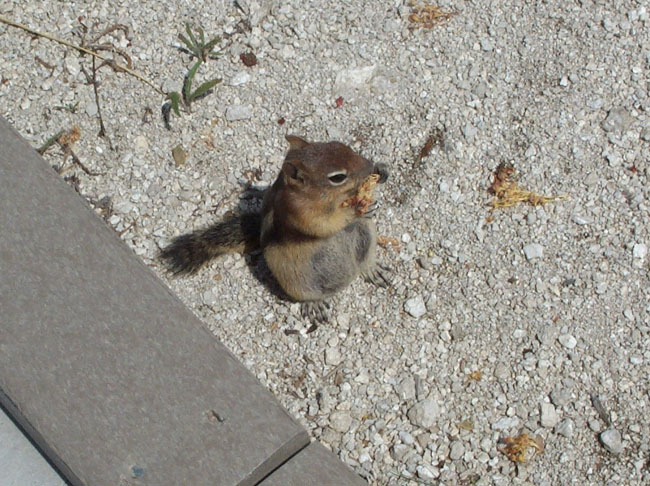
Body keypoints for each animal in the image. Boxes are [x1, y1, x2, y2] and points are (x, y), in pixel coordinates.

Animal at [160, 135, 390, 322]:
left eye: (343, 146)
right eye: (337, 177)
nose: (370, 166)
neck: (331, 200)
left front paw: (380, 174)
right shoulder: (299, 212)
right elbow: (322, 225)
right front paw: (354, 212)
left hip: (367, 235)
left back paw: (372, 269)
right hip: (295, 281)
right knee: (307, 296)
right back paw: (314, 304)